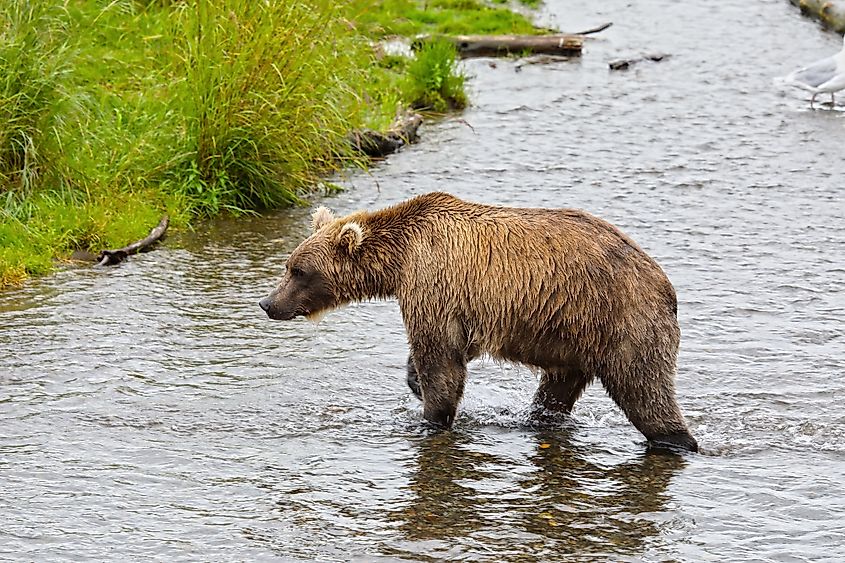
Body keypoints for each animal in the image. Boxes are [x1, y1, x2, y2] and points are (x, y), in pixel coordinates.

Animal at [259, 192, 698, 452]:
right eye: (289, 265)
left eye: (299, 271)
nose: (267, 303)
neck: (399, 262)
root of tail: (663, 283)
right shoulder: (457, 304)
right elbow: (447, 350)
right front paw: (415, 383)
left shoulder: (432, 279)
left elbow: (439, 358)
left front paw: (432, 416)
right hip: (573, 333)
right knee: (558, 387)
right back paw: (541, 419)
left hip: (621, 321)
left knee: (644, 389)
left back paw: (677, 440)